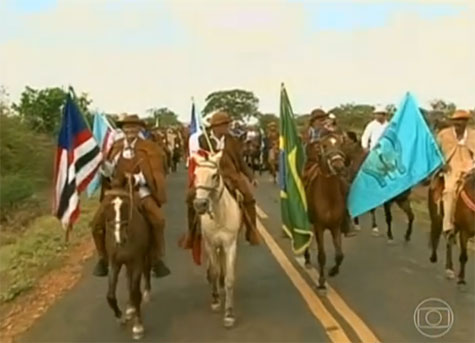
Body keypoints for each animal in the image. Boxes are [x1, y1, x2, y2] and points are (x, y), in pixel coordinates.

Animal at [103, 184, 152, 340]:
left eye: (126, 207)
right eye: (108, 209)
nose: (120, 239)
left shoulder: (137, 262)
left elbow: (136, 293)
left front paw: (138, 327)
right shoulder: (114, 263)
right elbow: (110, 295)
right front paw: (120, 317)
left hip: (145, 256)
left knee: (146, 270)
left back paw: (146, 294)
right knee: (128, 280)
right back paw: (130, 308)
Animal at [192, 153, 242, 328]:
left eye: (214, 175)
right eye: (195, 175)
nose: (200, 205)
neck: (220, 214)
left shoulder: (230, 244)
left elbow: (230, 278)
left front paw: (229, 314)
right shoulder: (211, 244)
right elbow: (214, 271)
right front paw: (215, 300)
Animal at [304, 133, 350, 294]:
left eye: (340, 144)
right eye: (324, 146)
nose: (339, 166)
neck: (328, 196)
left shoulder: (336, 226)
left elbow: (340, 255)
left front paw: (333, 271)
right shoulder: (319, 226)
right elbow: (322, 255)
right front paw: (322, 283)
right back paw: (306, 259)